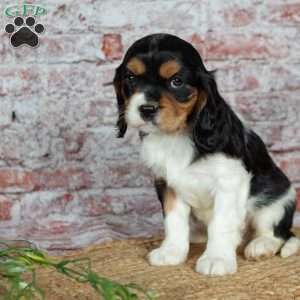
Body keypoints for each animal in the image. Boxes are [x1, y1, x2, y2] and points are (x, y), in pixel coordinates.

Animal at [113, 34, 300, 276]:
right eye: (131, 78)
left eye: (177, 82)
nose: (146, 109)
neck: (175, 136)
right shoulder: (167, 184)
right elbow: (173, 220)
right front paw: (171, 251)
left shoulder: (229, 182)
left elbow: (221, 223)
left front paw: (217, 259)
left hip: (278, 198)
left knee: (276, 232)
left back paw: (260, 245)